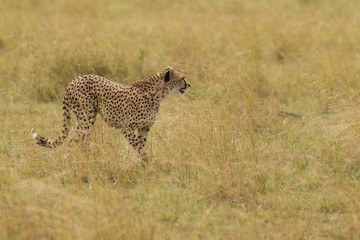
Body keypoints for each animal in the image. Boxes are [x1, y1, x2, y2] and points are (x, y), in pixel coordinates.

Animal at [33, 65, 191, 163]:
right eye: (182, 78)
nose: (189, 84)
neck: (158, 94)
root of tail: (75, 78)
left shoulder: (144, 128)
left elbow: (141, 146)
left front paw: (141, 165)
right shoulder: (126, 128)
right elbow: (139, 147)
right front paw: (145, 163)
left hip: (85, 120)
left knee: (81, 141)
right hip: (85, 119)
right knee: (73, 142)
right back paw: (73, 162)